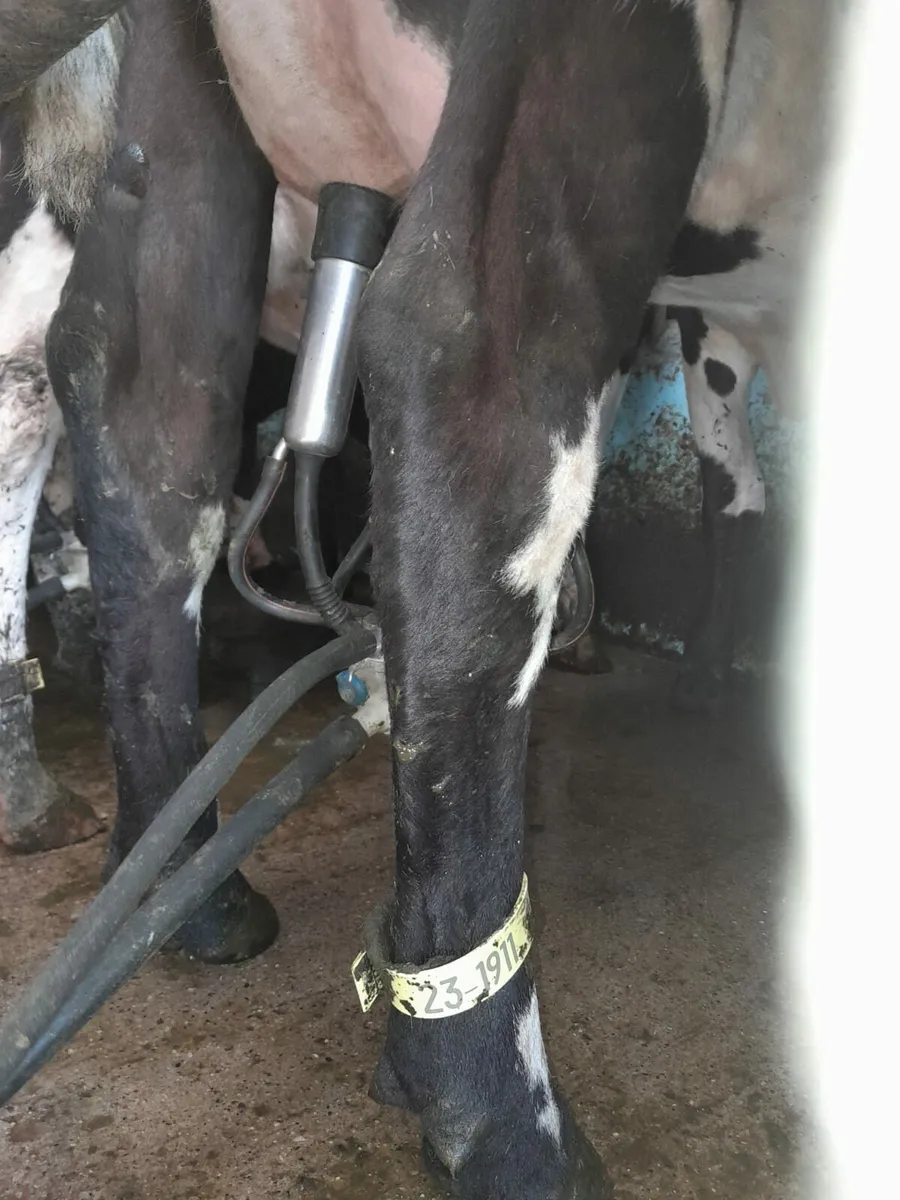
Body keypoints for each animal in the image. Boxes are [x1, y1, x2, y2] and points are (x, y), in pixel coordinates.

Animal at [2, 1, 839, 1196]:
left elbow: (737, 484)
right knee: (473, 365)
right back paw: (505, 1127)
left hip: (171, 115)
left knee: (143, 402)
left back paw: (191, 889)